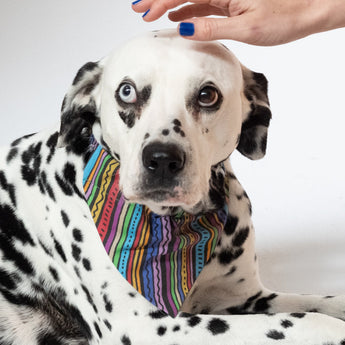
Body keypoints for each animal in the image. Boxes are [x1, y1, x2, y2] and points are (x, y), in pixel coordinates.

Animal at [0, 29, 344, 344]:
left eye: (208, 95)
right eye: (127, 91)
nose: (162, 159)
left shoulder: (245, 298)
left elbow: (320, 305)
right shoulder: (148, 328)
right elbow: (310, 321)